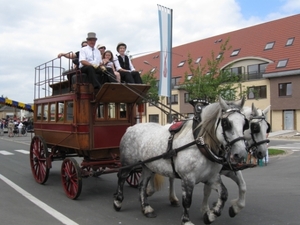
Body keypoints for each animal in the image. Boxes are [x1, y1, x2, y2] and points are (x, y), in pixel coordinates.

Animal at [113, 96, 247, 225]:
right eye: (226, 123)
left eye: (245, 123)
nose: (240, 154)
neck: (200, 144)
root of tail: (131, 128)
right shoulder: (188, 179)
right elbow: (187, 201)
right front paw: (186, 220)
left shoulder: (211, 177)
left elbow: (224, 194)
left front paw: (211, 215)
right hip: (129, 164)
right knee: (121, 177)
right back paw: (118, 201)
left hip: (147, 166)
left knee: (142, 185)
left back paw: (146, 208)